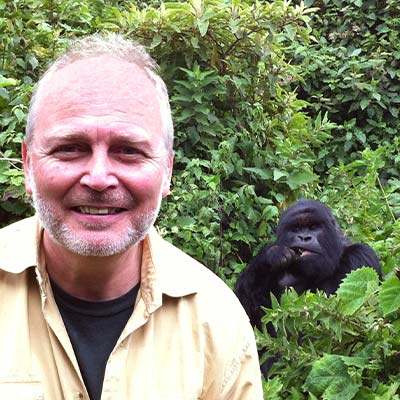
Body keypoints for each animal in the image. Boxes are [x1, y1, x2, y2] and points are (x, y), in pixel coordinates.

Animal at [234, 198, 382, 332]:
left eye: (314, 228)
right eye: (296, 229)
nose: (304, 238)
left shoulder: (360, 257)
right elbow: (247, 315)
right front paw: (271, 254)